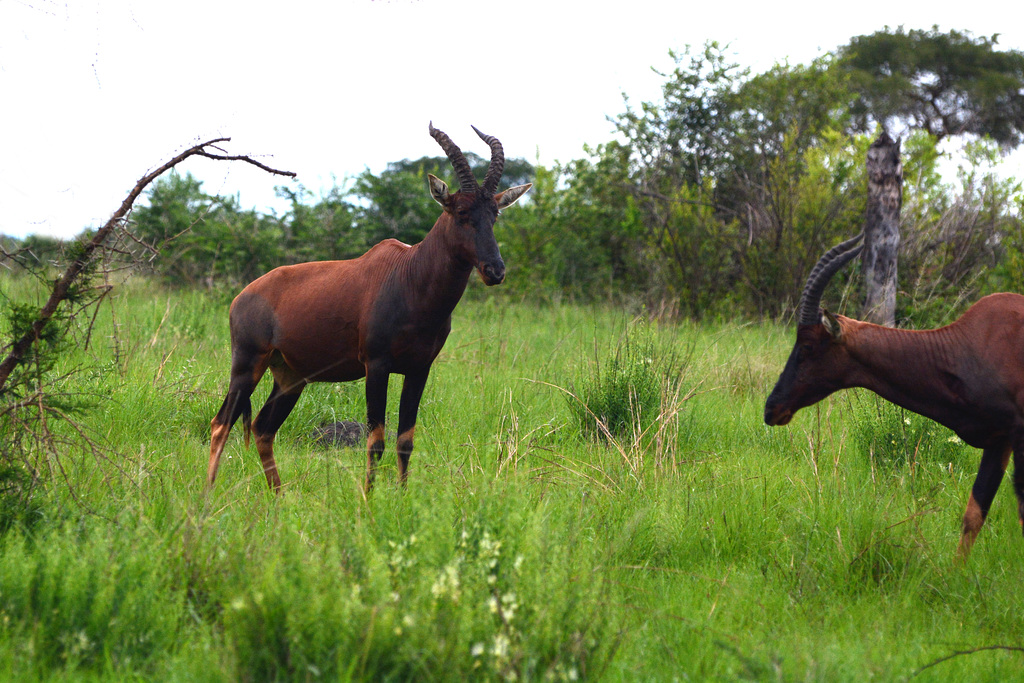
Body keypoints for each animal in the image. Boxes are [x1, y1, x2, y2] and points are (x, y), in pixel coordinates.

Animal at [204, 124, 532, 491]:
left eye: (495, 214)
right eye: (461, 212)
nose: (495, 271)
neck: (409, 273)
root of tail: (241, 297)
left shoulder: (419, 369)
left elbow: (405, 441)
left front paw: (402, 498)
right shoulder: (376, 365)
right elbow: (376, 441)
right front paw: (369, 498)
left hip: (290, 376)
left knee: (262, 428)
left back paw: (277, 497)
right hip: (247, 364)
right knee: (221, 424)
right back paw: (208, 496)